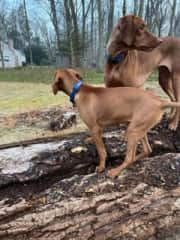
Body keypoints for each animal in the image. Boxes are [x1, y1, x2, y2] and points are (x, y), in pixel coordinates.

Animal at [51, 67, 180, 178]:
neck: (78, 89)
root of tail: (160, 101)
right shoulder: (98, 127)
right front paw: (90, 139)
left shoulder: (94, 127)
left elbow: (101, 151)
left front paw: (101, 167)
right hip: (140, 128)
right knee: (147, 150)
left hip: (134, 130)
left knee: (130, 157)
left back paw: (116, 171)